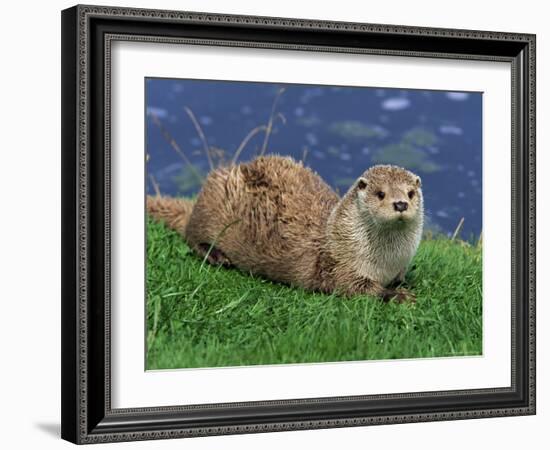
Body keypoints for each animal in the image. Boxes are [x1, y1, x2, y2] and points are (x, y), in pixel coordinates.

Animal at [146, 155, 422, 302]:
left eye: (410, 192)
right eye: (380, 193)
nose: (400, 203)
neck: (385, 263)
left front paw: (401, 286)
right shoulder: (338, 266)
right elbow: (356, 288)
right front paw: (398, 296)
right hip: (213, 203)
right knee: (191, 235)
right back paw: (216, 255)